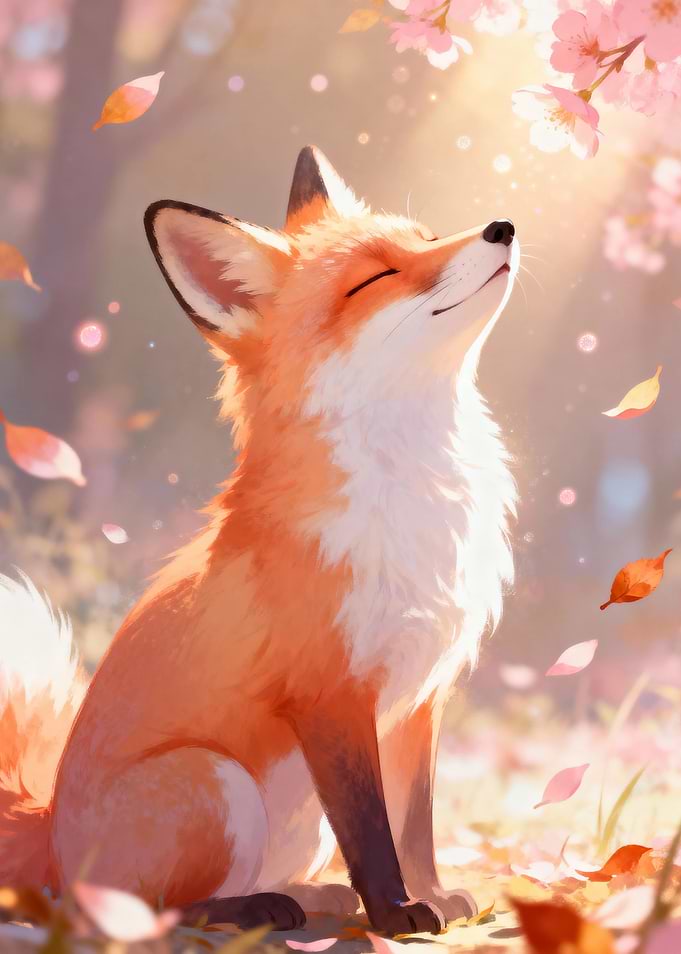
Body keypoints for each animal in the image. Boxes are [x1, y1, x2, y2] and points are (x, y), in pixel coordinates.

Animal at [0, 146, 518, 936]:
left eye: (426, 237)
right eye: (374, 279)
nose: (500, 227)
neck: (412, 495)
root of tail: (50, 834)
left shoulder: (419, 702)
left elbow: (414, 826)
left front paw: (434, 894)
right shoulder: (329, 694)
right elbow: (371, 830)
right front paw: (396, 911)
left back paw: (315, 900)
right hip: (217, 783)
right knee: (148, 911)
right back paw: (255, 909)